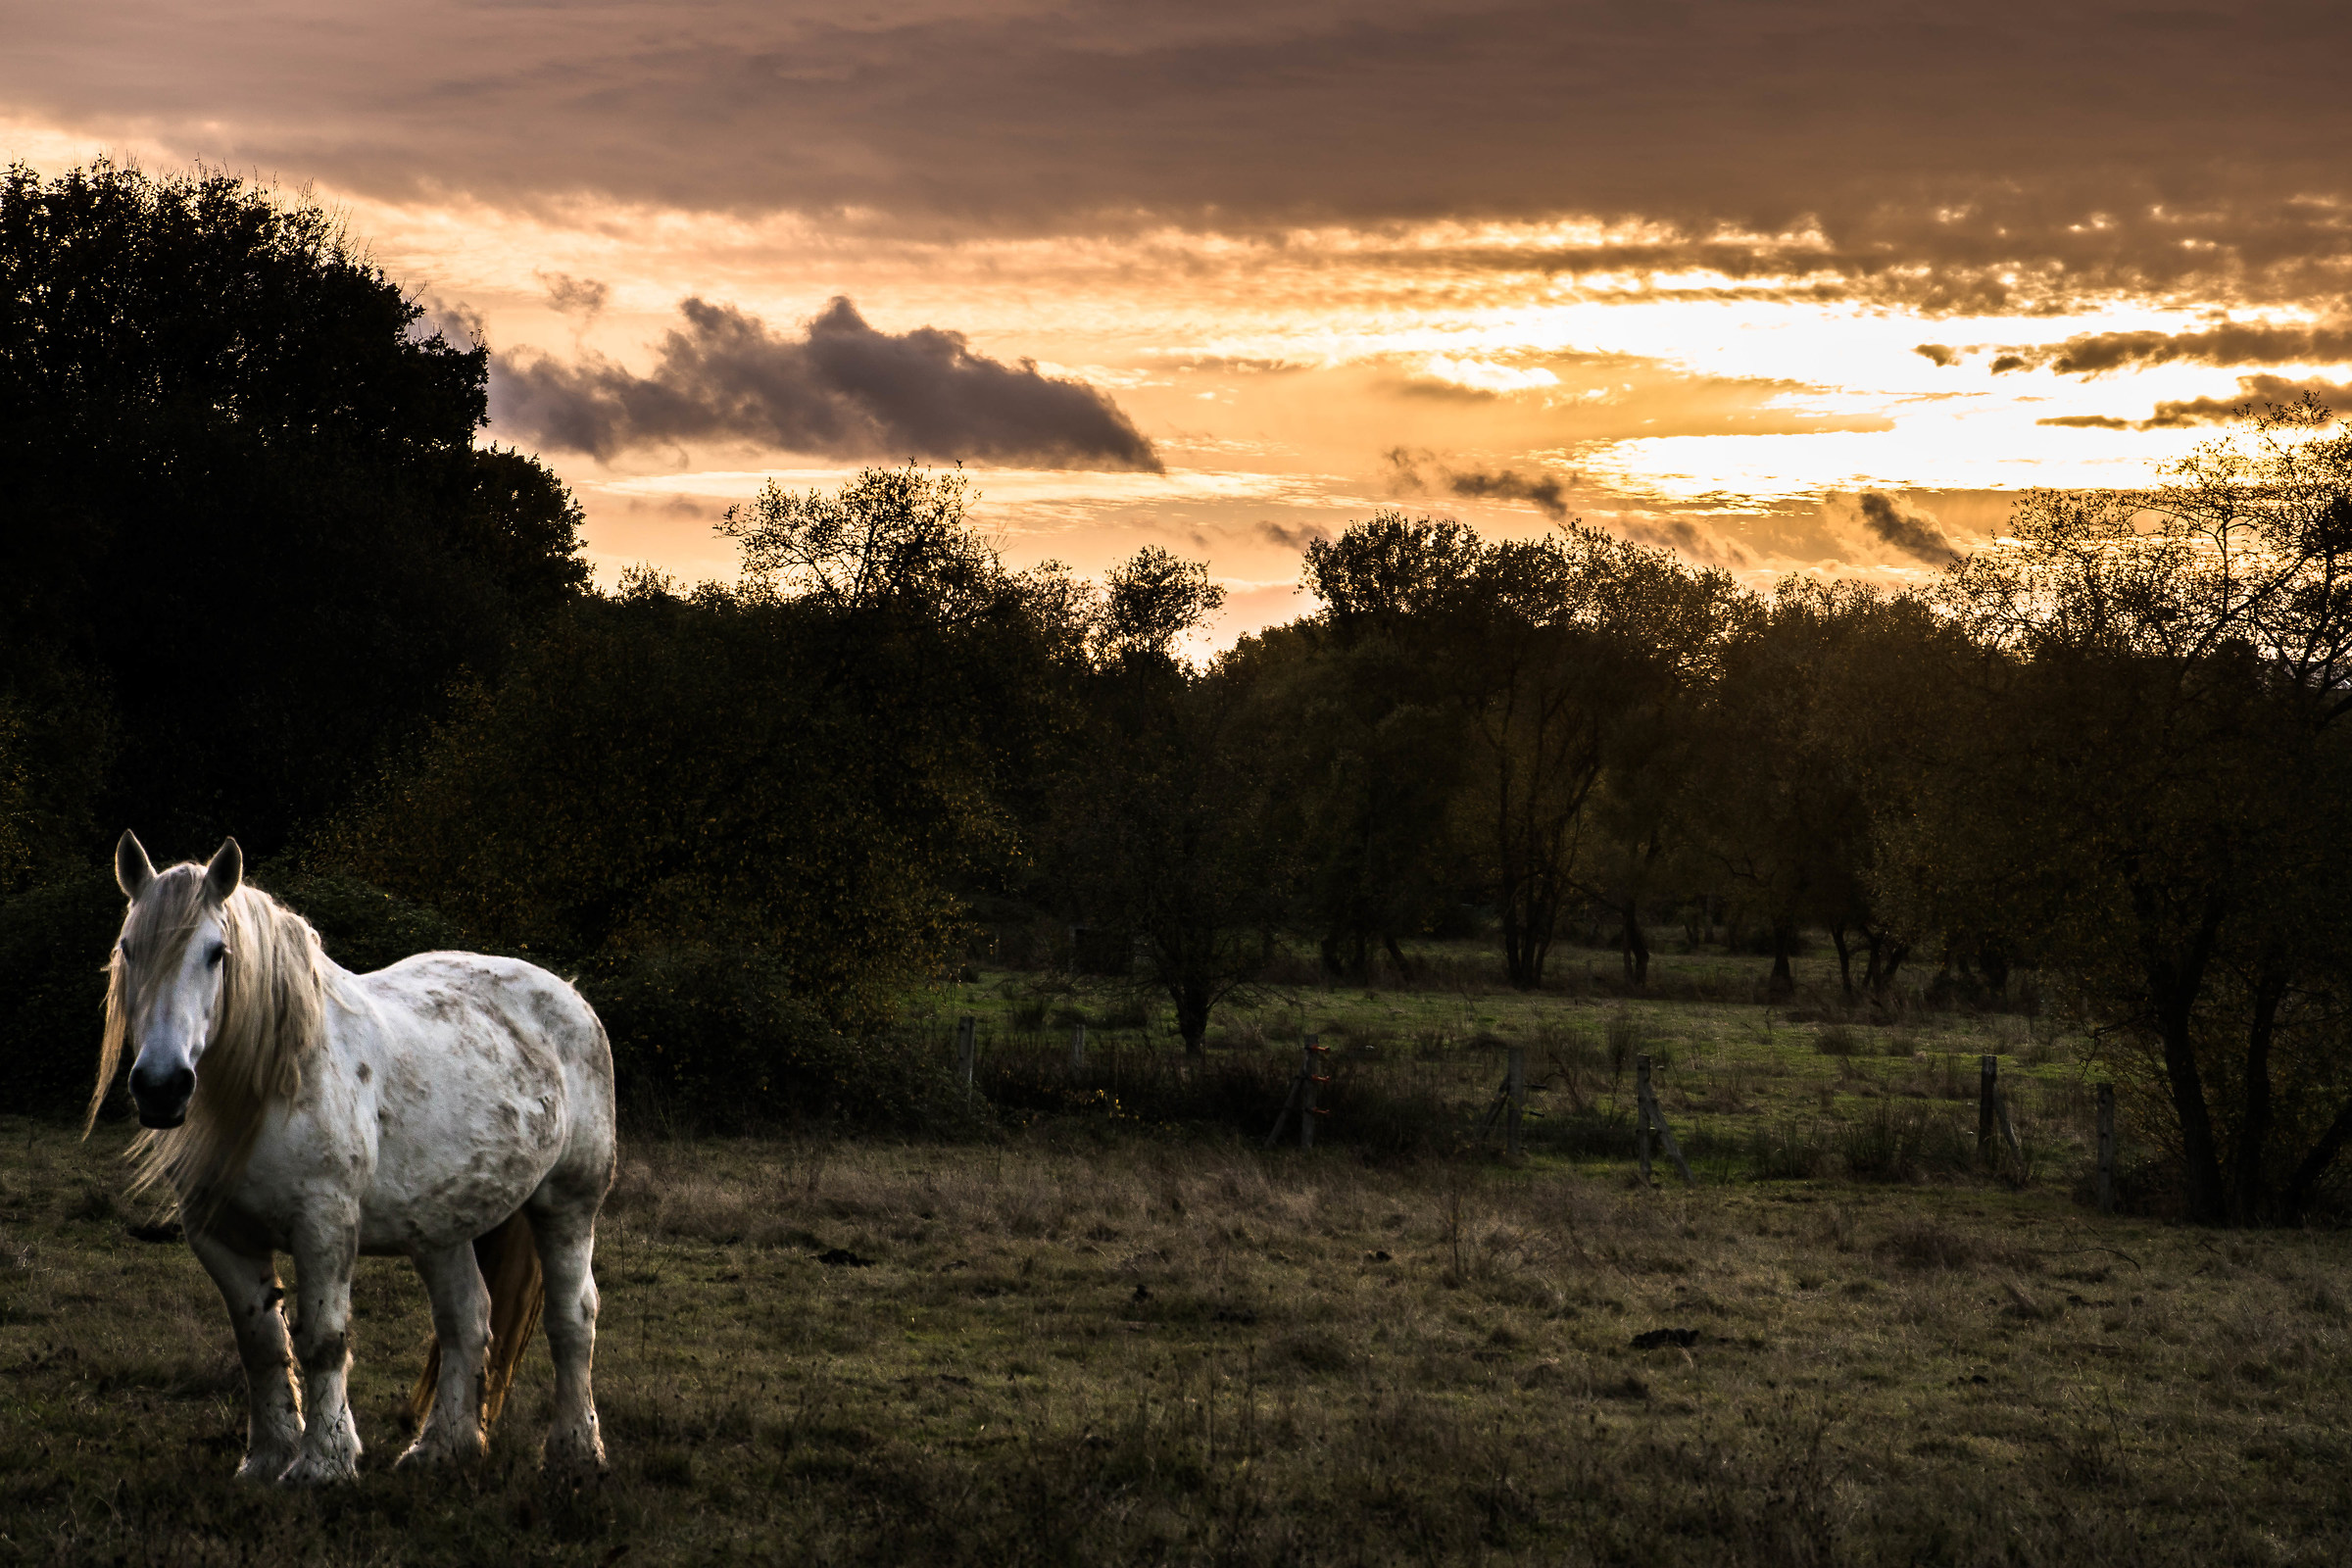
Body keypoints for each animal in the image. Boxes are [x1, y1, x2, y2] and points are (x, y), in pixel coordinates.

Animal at [89, 831, 616, 1484]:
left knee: (574, 1319)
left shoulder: (324, 1225)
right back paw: (443, 1446)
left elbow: (323, 1339)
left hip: (568, 1204)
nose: (162, 1087)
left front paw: (324, 1462)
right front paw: (267, 1458)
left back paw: (576, 1450)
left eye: (216, 953)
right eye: (128, 948)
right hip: (441, 1225)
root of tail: (569, 995)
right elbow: (262, 1344)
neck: (276, 1079)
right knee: (467, 1320)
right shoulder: (220, 1236)